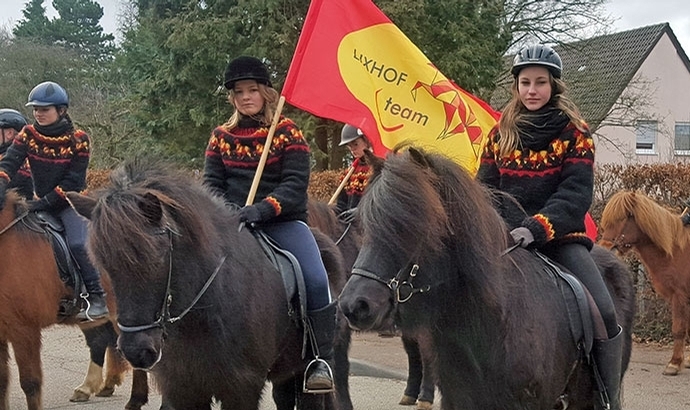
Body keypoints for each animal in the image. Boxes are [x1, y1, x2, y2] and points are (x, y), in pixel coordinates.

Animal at [0, 191, 149, 408]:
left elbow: (30, 383)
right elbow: (2, 382)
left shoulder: (25, 330)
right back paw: (94, 387)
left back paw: (136, 398)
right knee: (99, 341)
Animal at [596, 189, 688, 374]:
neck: (676, 251)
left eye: (625, 217)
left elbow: (679, 329)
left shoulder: (680, 296)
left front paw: (674, 363)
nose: (605, 248)